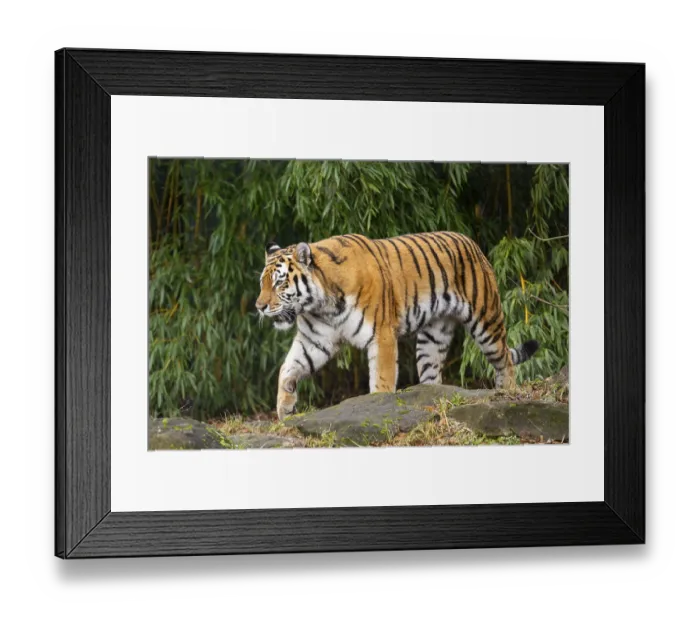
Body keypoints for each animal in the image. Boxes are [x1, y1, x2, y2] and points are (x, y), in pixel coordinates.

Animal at [255, 232, 540, 419]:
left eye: (280, 282)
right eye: (262, 283)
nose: (259, 306)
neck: (322, 304)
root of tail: (472, 243)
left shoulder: (381, 335)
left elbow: (381, 380)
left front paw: (375, 409)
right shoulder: (315, 340)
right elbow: (288, 367)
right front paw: (285, 407)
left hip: (486, 320)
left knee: (505, 360)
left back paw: (506, 393)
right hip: (432, 339)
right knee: (433, 376)